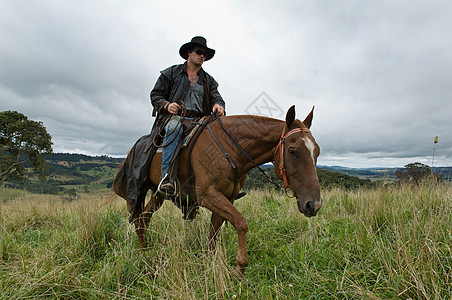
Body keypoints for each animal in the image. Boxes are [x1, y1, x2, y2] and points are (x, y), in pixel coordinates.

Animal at [129, 105, 324, 276]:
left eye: (317, 152)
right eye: (292, 150)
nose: (313, 204)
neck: (230, 149)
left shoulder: (226, 198)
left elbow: (214, 231)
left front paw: (209, 261)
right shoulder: (208, 195)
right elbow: (241, 222)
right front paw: (240, 267)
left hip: (159, 194)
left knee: (144, 217)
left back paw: (146, 250)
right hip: (145, 190)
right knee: (140, 217)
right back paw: (144, 253)